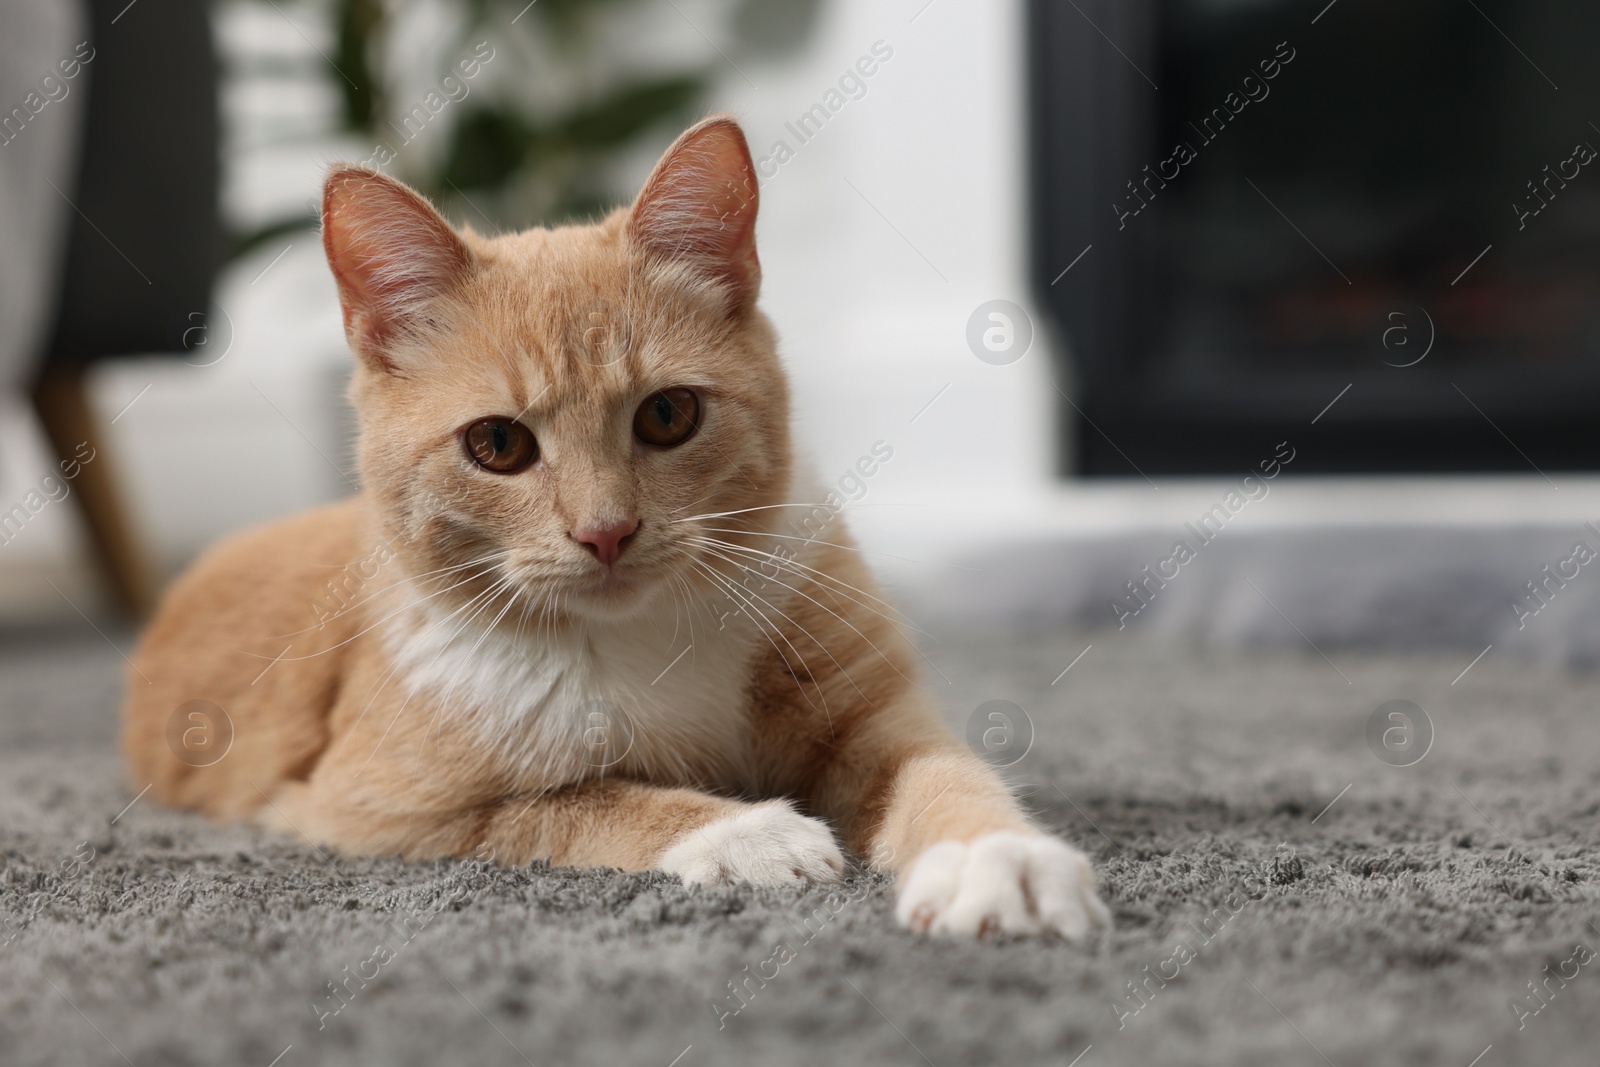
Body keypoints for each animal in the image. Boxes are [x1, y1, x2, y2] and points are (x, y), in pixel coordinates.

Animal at [121, 112, 1113, 940]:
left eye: (668, 415)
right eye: (496, 443)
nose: (606, 532)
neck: (645, 635)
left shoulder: (879, 720)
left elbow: (946, 774)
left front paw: (998, 859)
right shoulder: (370, 806)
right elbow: (586, 802)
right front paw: (750, 835)